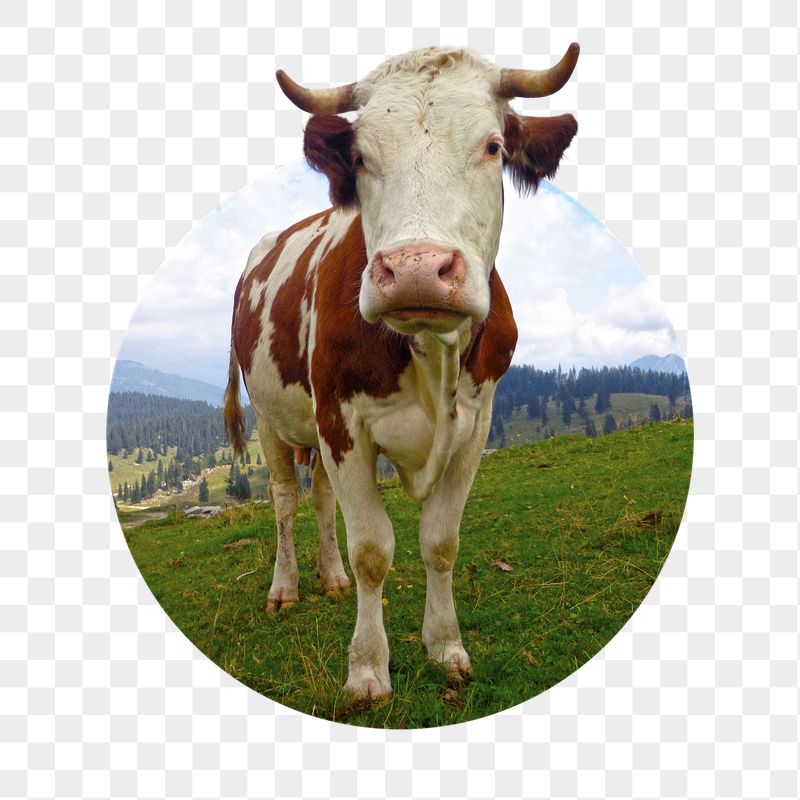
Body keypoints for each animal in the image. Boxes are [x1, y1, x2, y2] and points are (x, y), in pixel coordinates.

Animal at [223, 45, 579, 700]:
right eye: (361, 156)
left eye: (494, 146)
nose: (416, 270)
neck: (430, 352)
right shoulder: (343, 424)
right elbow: (372, 549)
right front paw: (367, 670)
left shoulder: (476, 424)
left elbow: (440, 541)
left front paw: (445, 647)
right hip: (270, 416)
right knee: (285, 498)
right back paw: (286, 587)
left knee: (318, 496)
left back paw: (331, 577)